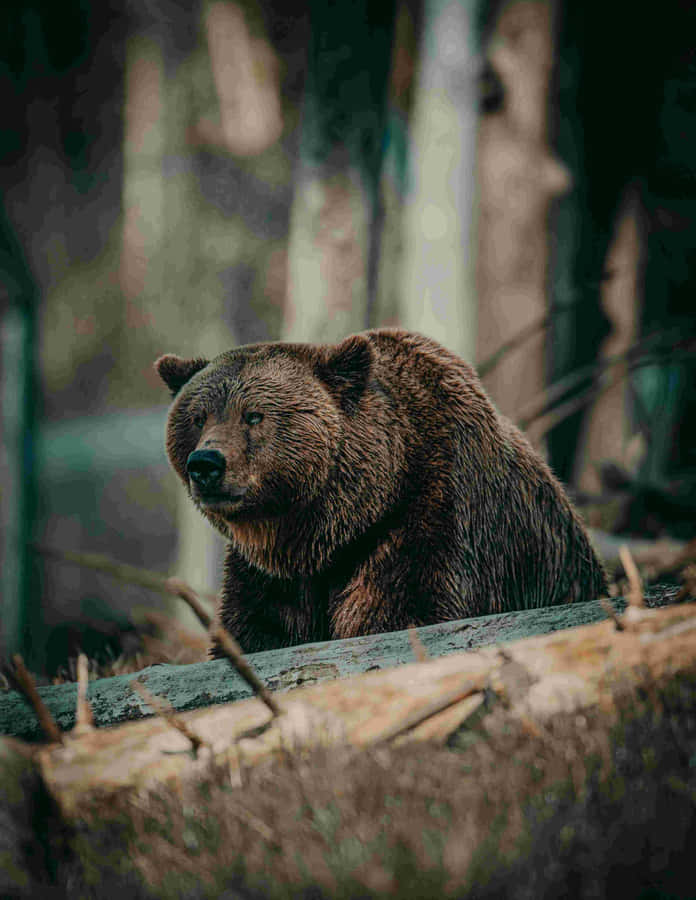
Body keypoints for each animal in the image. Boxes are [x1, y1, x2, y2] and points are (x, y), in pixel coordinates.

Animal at [156, 328, 606, 653]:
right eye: (197, 417)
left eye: (254, 415)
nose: (206, 464)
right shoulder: (271, 576)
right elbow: (255, 630)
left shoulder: (435, 519)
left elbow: (403, 610)